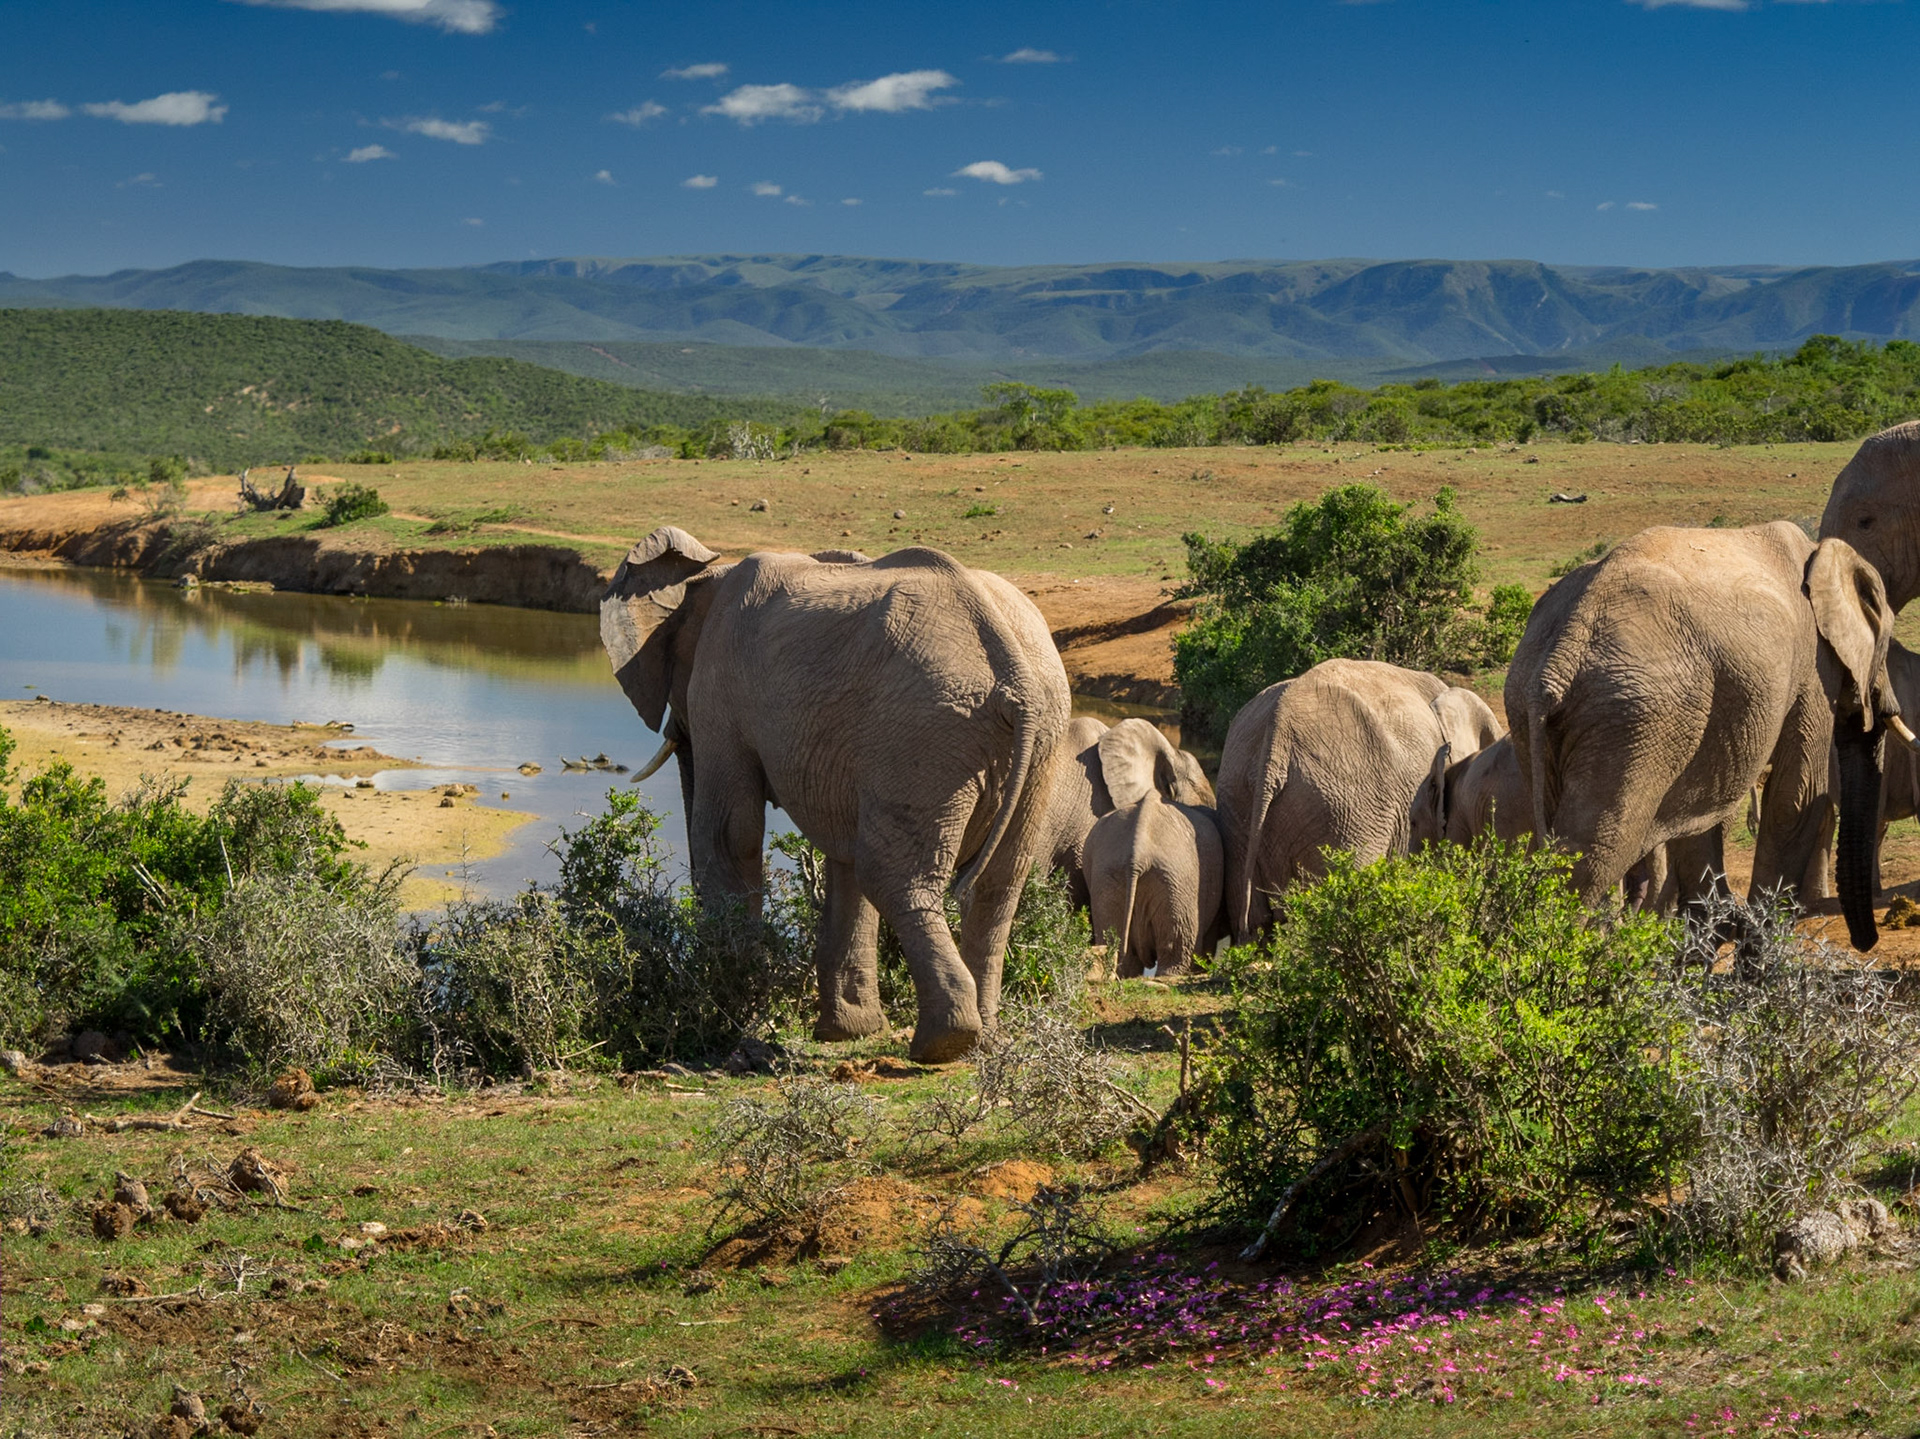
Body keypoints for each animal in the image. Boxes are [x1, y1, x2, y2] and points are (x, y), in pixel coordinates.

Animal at [600, 527, 1071, 1062]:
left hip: (923, 733)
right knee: (996, 886)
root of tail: (1014, 676)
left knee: (891, 874)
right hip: (1037, 740)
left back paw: (942, 1044)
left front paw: (728, 1022)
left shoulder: (720, 686)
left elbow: (730, 833)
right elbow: (841, 859)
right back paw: (984, 1041)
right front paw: (847, 1031)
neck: (709, 577)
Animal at [1504, 521, 1897, 950]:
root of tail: (1559, 657)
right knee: (1595, 848)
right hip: (1633, 711)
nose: (1868, 941)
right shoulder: (1813, 666)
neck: (1821, 551)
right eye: (1886, 643)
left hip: (1537, 709)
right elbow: (1797, 796)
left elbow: (1699, 808)